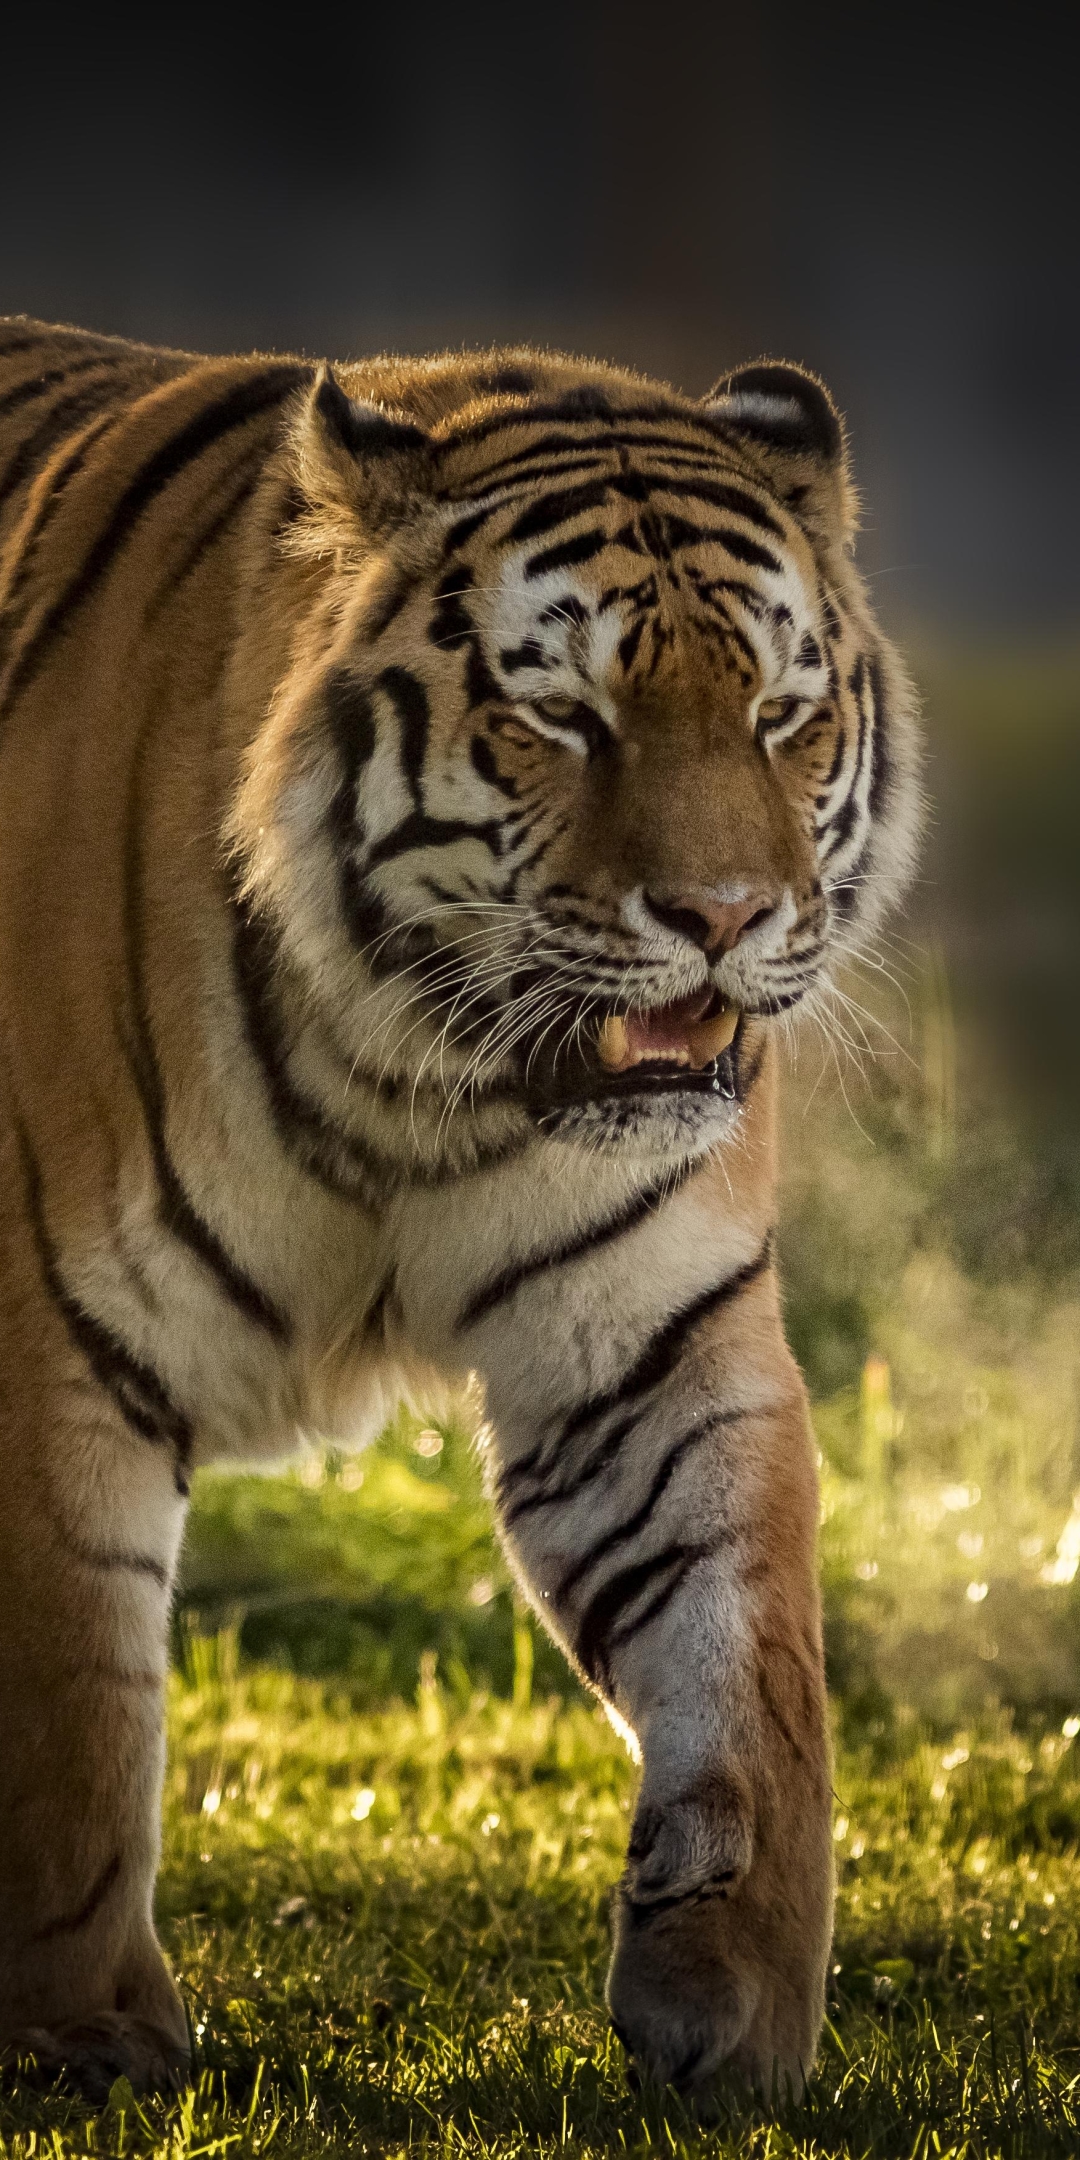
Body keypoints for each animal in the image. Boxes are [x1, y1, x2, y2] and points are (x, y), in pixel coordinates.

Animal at [0, 313, 920, 2099]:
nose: (724, 916)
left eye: (779, 713)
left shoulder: (651, 1342)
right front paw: (86, 2038)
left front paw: (736, 2014)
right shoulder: (48, 1340)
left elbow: (749, 1666)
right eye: (563, 714)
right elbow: (72, 1713)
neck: (418, 1081)